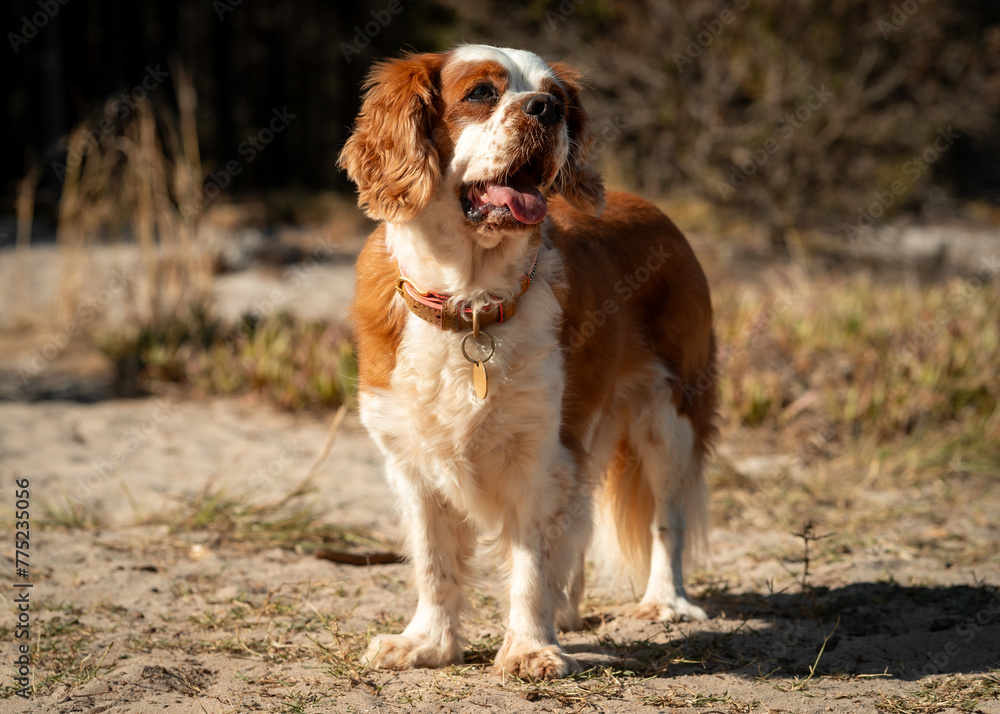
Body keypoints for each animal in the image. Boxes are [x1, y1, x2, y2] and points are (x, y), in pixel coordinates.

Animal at [340, 44, 716, 680]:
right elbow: (435, 564)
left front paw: (529, 647)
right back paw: (568, 608)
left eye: (557, 97)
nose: (545, 109)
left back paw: (665, 601)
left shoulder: (541, 453)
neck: (471, 302)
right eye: (480, 93)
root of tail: (653, 209)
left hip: (669, 418)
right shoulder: (412, 461)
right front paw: (428, 643)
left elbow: (530, 563)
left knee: (668, 518)